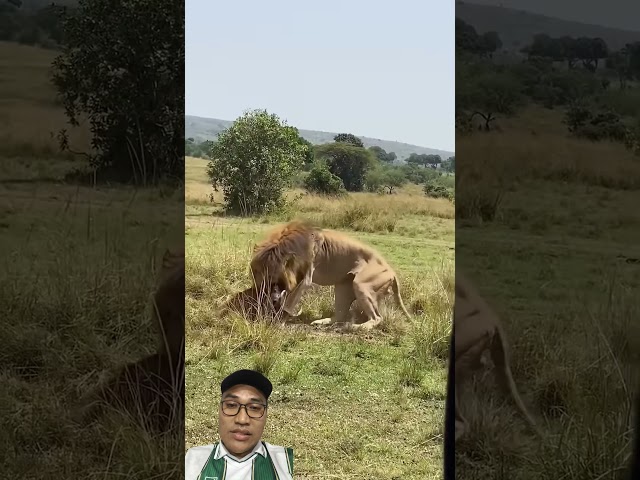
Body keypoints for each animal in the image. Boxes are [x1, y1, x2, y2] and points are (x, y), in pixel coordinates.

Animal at [249, 221, 412, 330]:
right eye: (258, 274)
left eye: (273, 276)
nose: (272, 295)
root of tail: (392, 271)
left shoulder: (306, 279)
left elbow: (289, 303)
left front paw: (278, 321)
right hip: (342, 286)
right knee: (340, 315)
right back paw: (321, 322)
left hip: (362, 285)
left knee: (377, 318)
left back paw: (354, 327)